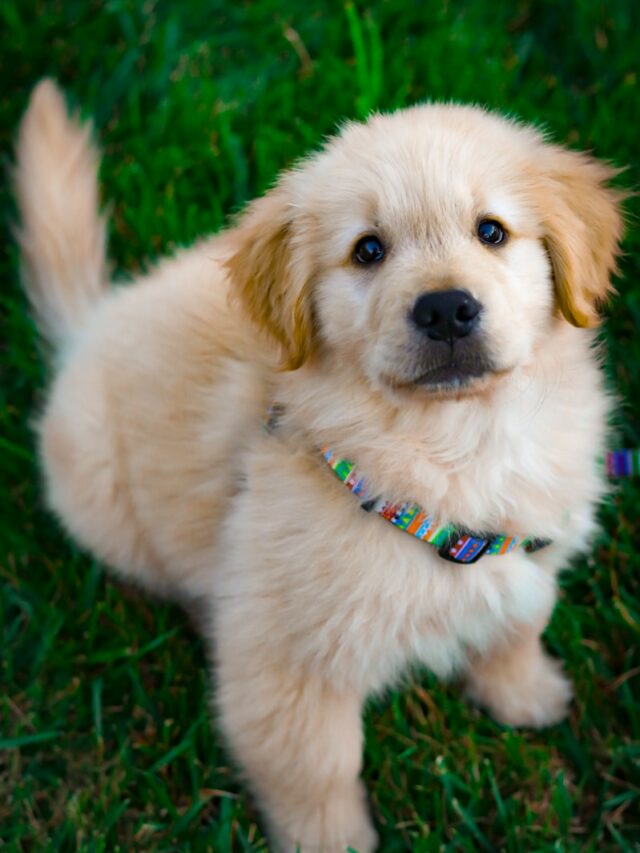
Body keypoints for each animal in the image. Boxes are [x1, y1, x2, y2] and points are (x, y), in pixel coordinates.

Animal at [16, 81, 624, 852]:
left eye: (492, 232)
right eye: (367, 251)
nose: (447, 309)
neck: (453, 446)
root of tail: (88, 328)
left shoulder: (524, 553)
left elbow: (517, 624)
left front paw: (527, 694)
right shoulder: (290, 660)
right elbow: (315, 768)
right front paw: (331, 838)